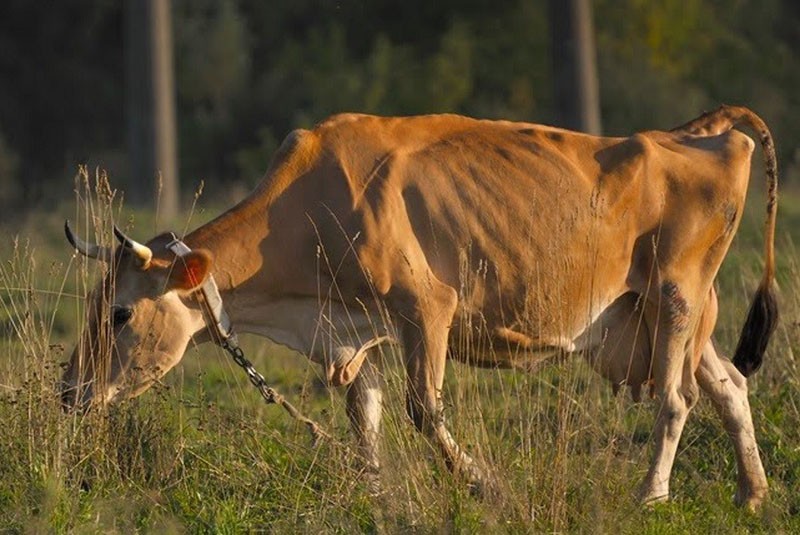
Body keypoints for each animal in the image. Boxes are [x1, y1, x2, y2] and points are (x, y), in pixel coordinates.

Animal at [61, 105, 776, 510]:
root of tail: (699, 134)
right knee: (729, 386)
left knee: (677, 397)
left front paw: (485, 485)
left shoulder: (426, 306)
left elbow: (422, 410)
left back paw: (651, 495)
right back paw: (752, 494)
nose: (69, 391)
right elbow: (366, 418)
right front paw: (375, 493)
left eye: (120, 314)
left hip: (677, 294)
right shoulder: (356, 331)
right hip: (660, 316)